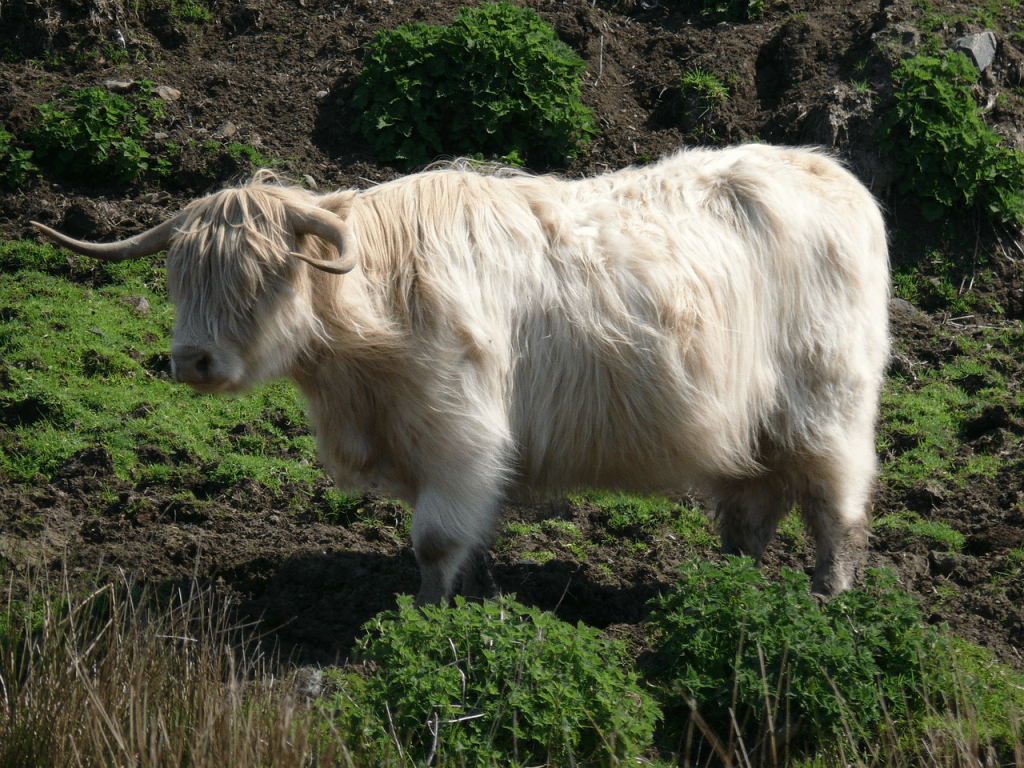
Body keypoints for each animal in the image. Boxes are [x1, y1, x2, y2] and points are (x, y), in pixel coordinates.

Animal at [32, 143, 890, 606]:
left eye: (262, 274)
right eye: (178, 277)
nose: (192, 361)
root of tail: (828, 171)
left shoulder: (460, 436)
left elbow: (436, 539)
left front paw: (421, 614)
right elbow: (469, 537)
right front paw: (477, 599)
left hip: (830, 407)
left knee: (834, 509)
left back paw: (828, 597)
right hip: (755, 425)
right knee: (753, 508)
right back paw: (728, 588)